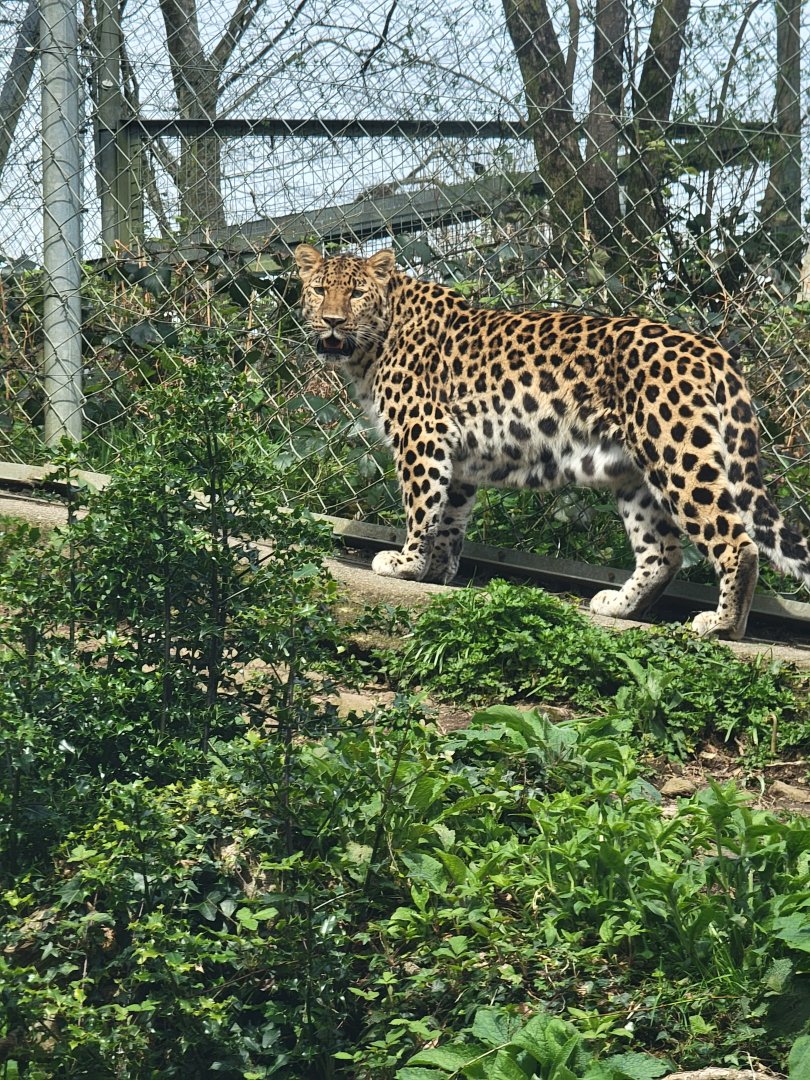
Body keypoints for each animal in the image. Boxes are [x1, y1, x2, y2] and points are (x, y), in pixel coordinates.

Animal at [295, 243, 810, 640]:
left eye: (356, 293)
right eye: (319, 290)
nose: (332, 321)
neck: (373, 342)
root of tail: (712, 349)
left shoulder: (423, 434)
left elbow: (422, 507)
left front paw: (404, 563)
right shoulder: (456, 455)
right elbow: (451, 518)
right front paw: (436, 572)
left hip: (676, 455)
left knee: (735, 540)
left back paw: (723, 625)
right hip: (637, 473)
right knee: (663, 552)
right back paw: (620, 606)